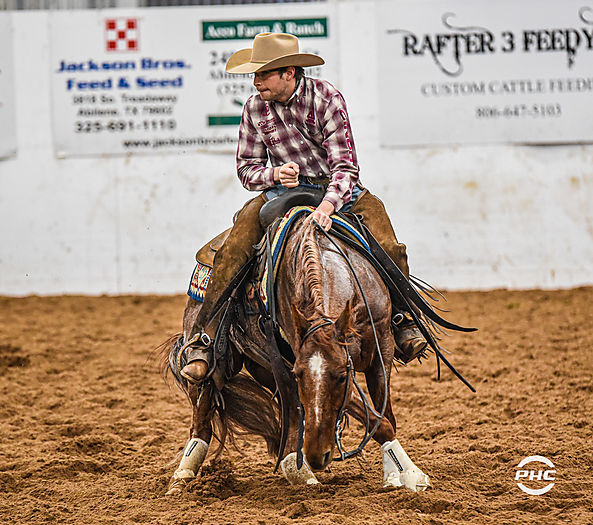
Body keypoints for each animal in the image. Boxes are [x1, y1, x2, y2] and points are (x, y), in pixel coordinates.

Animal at [161, 211, 432, 493]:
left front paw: (402, 474)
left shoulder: (381, 349)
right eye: (300, 373)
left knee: (290, 413)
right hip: (218, 365)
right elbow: (376, 418)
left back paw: (298, 469)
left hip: (266, 369)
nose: (316, 456)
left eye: (341, 377)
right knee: (202, 419)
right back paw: (181, 480)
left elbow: (384, 414)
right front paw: (407, 474)